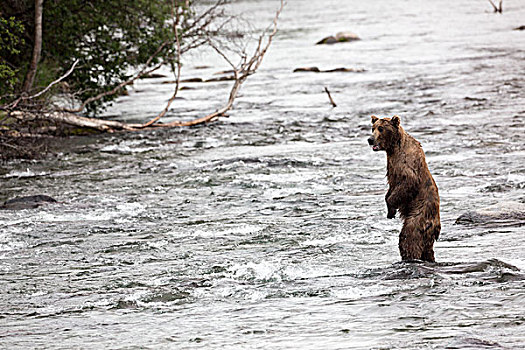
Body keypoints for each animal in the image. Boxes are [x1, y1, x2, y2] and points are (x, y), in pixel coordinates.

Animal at [366, 115, 440, 262]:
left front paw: (391, 208)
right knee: (427, 248)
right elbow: (391, 188)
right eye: (373, 128)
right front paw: (390, 211)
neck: (393, 147)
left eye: (381, 128)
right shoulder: (391, 167)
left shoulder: (406, 165)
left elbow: (408, 182)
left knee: (409, 237)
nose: (370, 139)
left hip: (419, 215)